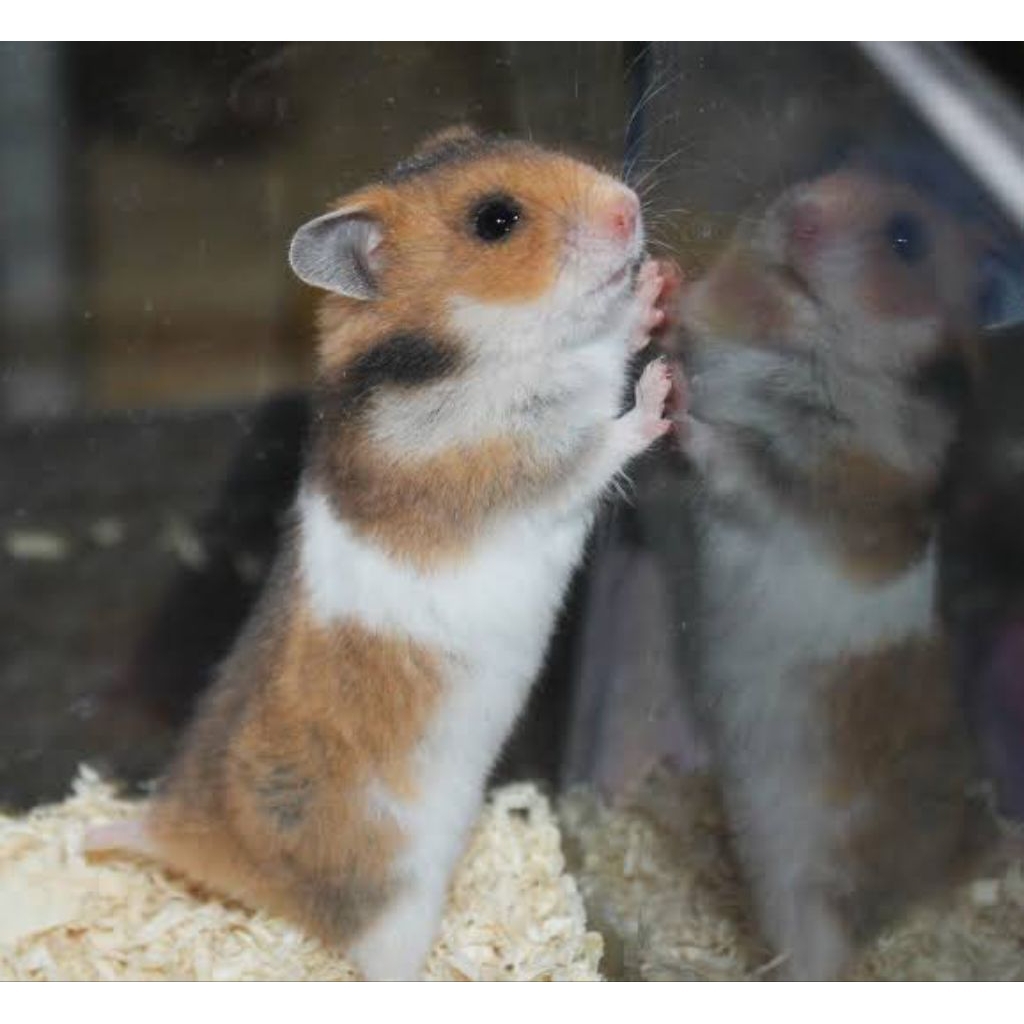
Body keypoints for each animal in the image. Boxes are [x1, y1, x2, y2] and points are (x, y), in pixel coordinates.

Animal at [85, 126, 673, 980]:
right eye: (496, 221)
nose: (629, 209)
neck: (475, 342)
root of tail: (178, 836)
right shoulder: (526, 461)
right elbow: (602, 432)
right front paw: (662, 388)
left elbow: (609, 345)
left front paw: (656, 287)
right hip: (394, 910)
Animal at [664, 168, 996, 979]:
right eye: (833, 171)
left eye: (906, 238)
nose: (801, 216)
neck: (800, 318)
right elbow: (693, 321)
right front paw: (666, 283)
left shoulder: (806, 478)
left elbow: (732, 453)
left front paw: (678, 402)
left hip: (810, 881)